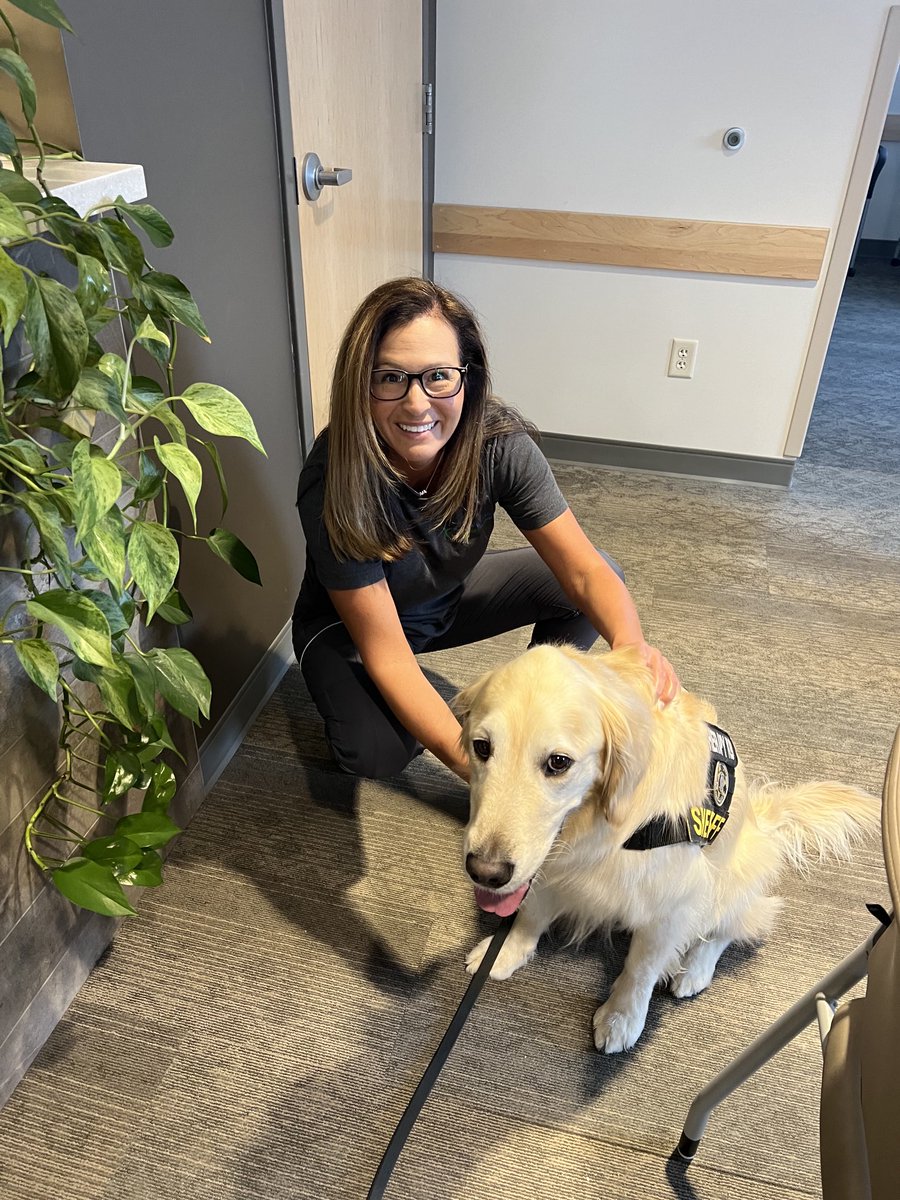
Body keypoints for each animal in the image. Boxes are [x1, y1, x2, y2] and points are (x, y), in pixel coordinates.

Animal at [453, 648, 878, 1051]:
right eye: (482, 747)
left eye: (558, 762)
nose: (485, 872)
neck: (604, 826)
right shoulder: (549, 866)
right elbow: (530, 913)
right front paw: (505, 951)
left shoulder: (672, 899)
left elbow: (641, 968)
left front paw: (622, 1019)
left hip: (737, 872)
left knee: (732, 923)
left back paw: (694, 969)